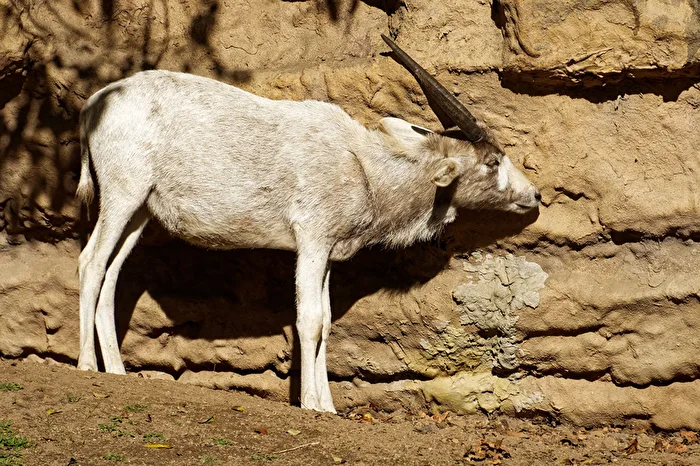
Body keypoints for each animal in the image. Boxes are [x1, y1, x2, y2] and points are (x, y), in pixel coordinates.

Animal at [76, 34, 540, 412]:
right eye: (492, 162)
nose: (534, 195)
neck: (363, 167)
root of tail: (94, 105)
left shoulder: (329, 252)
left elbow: (328, 321)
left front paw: (329, 407)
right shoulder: (312, 241)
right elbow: (311, 320)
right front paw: (313, 405)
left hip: (140, 211)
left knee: (112, 273)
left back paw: (116, 370)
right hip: (123, 195)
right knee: (91, 262)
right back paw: (86, 366)